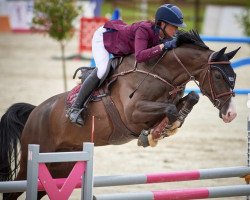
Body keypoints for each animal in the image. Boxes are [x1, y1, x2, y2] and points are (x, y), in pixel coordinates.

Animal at [0, 30, 239, 199]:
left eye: (234, 76)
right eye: (218, 76)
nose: (231, 114)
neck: (159, 72)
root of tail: (35, 112)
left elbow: (190, 99)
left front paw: (166, 128)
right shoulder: (132, 114)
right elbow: (169, 111)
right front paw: (153, 135)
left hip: (60, 167)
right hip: (32, 161)